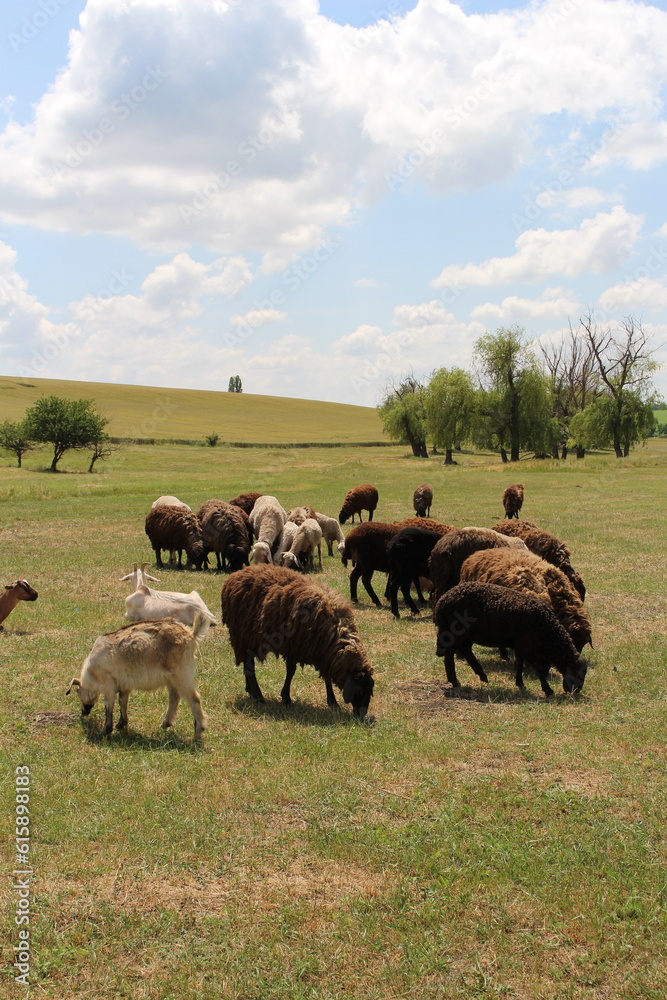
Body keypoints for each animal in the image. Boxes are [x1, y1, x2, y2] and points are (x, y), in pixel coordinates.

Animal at [67, 612, 209, 740]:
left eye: (78, 692)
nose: (84, 712)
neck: (91, 672)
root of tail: (191, 635)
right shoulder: (124, 685)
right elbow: (122, 702)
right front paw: (121, 724)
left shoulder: (108, 685)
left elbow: (109, 706)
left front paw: (105, 732)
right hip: (172, 678)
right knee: (174, 697)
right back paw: (165, 724)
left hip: (182, 675)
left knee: (194, 699)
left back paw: (198, 734)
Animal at [220, 564, 374, 720]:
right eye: (359, 690)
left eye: (370, 691)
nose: (362, 715)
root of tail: (235, 575)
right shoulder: (294, 647)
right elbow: (291, 672)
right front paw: (286, 698)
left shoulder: (324, 653)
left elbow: (327, 676)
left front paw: (333, 702)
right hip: (242, 635)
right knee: (249, 664)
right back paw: (258, 695)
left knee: (248, 664)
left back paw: (250, 690)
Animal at [436, 584, 588, 700]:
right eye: (578, 673)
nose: (576, 691)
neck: (546, 630)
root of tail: (442, 601)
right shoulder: (526, 646)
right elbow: (537, 667)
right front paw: (548, 690)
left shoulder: (519, 645)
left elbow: (519, 663)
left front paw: (520, 683)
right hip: (458, 632)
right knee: (450, 654)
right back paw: (455, 681)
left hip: (469, 634)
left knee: (466, 650)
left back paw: (482, 675)